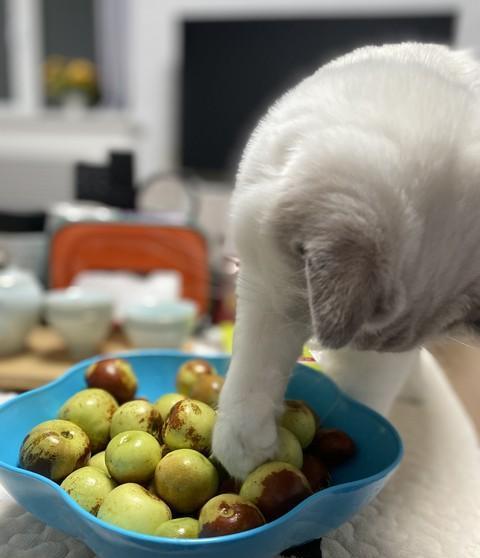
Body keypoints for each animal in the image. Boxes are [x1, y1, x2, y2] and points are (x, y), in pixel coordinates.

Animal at [212, 42, 480, 480]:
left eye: (371, 343)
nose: (330, 345)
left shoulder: (386, 353)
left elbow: (363, 397)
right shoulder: (267, 291)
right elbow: (255, 373)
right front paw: (246, 451)